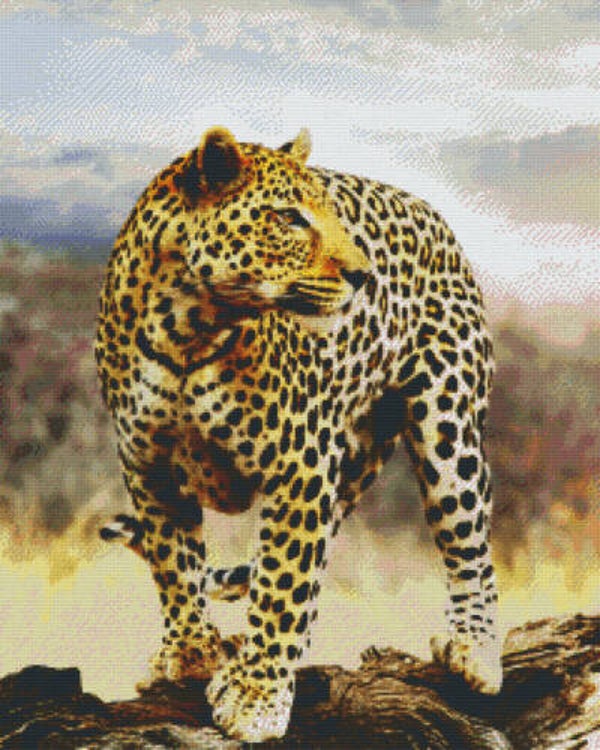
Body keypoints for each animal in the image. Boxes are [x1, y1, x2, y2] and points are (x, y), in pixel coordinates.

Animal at [95, 126, 503, 742]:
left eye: (331, 214)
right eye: (289, 218)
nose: (364, 276)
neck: (188, 326)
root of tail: (433, 215)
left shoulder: (300, 464)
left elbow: (283, 585)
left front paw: (255, 697)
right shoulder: (149, 464)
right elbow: (175, 564)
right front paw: (192, 653)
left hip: (448, 424)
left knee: (468, 539)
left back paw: (475, 647)